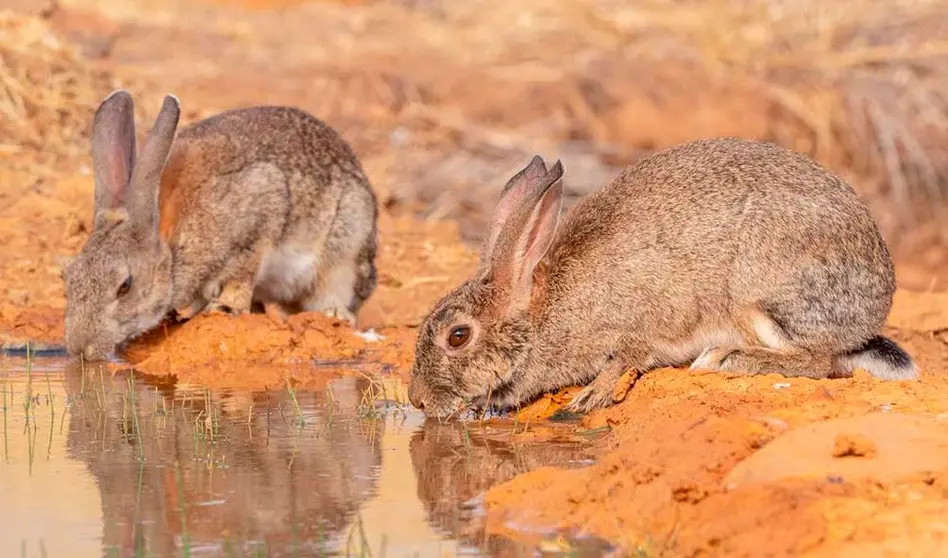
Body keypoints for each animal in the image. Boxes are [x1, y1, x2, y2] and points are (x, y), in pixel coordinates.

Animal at [60, 91, 382, 364]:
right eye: (69, 277)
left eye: (125, 286)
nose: (79, 348)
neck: (171, 244)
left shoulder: (259, 213)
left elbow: (241, 274)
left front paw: (223, 308)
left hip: (346, 247)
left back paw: (333, 313)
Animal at [408, 139, 920, 420]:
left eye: (458, 336)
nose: (416, 401)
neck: (544, 313)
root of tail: (876, 302)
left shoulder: (639, 321)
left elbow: (626, 357)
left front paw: (591, 395)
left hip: (761, 296)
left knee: (817, 361)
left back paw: (727, 358)